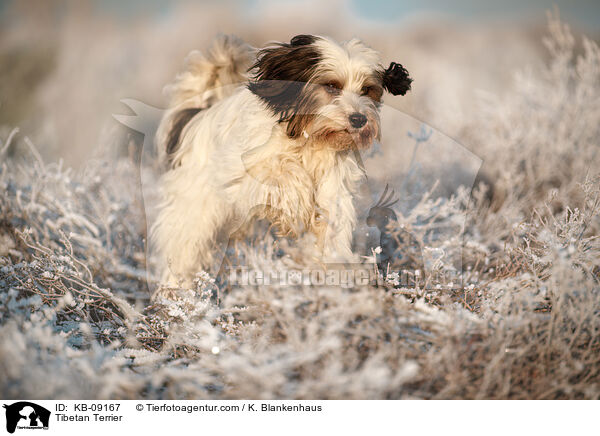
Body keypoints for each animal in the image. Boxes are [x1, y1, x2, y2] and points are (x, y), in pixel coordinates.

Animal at [151, 35, 412, 286]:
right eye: (331, 86)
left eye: (367, 89)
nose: (359, 119)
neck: (308, 138)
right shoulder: (241, 175)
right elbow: (283, 174)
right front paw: (295, 209)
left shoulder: (335, 186)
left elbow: (331, 225)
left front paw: (333, 266)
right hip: (194, 213)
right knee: (183, 250)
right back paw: (175, 291)